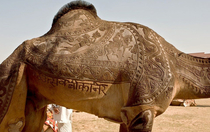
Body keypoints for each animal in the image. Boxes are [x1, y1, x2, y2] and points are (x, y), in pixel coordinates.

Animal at [0, 0, 209, 131]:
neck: (175, 64)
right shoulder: (143, 107)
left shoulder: (129, 110)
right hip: (10, 76)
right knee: (12, 122)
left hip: (32, 96)